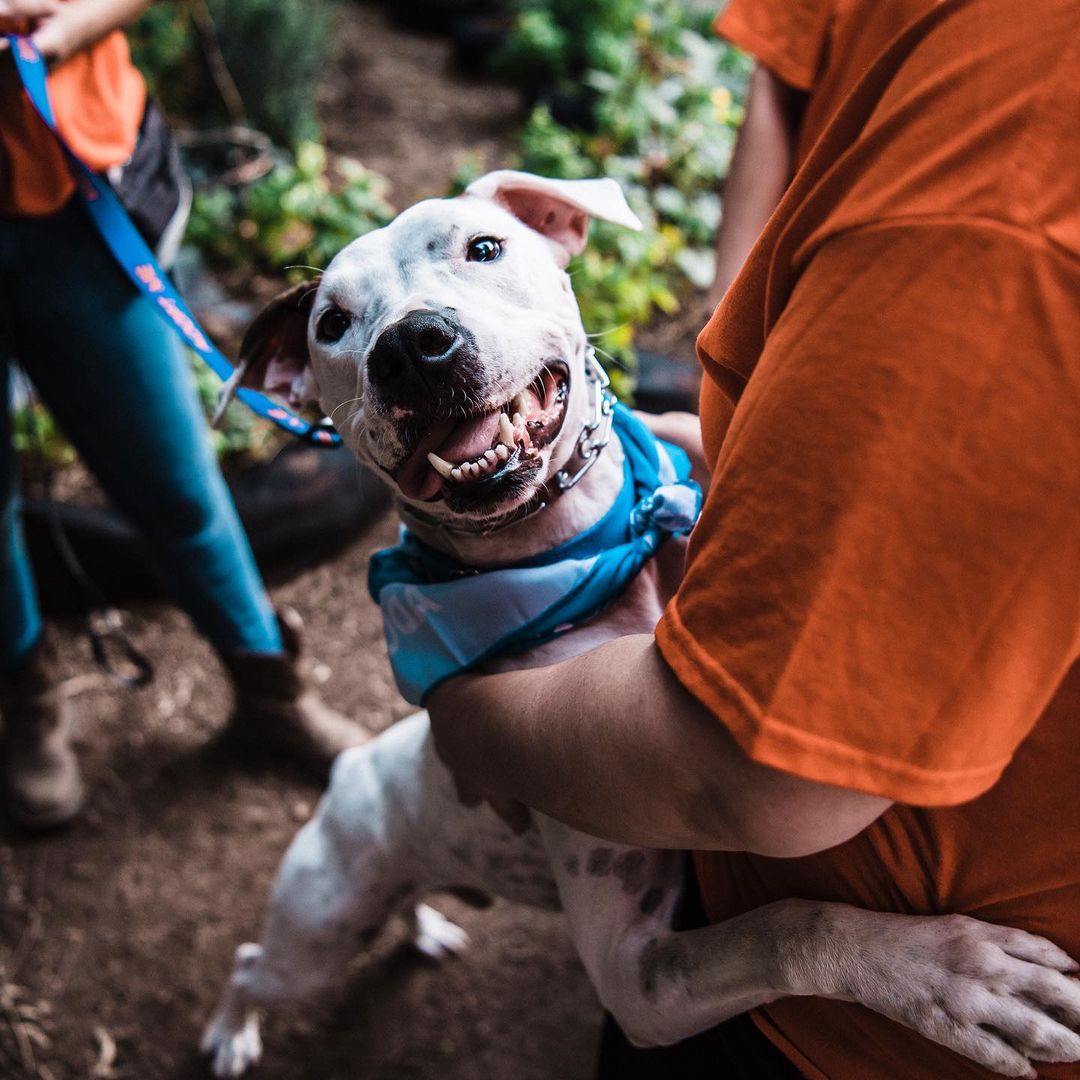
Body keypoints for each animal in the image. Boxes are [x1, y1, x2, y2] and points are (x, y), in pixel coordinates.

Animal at [203, 172, 1080, 1075]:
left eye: (483, 247)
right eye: (331, 325)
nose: (411, 346)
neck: (585, 555)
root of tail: (352, 769)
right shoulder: (638, 976)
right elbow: (788, 924)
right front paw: (946, 975)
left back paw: (426, 928)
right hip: (318, 932)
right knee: (251, 964)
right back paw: (231, 1034)